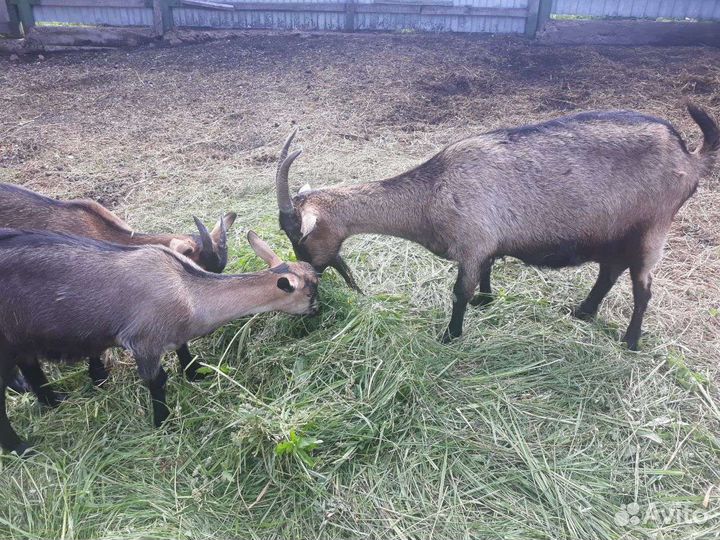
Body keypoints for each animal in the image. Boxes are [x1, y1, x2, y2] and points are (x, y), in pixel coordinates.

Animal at [0, 228, 318, 454]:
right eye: (310, 291)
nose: (319, 309)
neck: (188, 291)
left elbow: (183, 350)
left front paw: (193, 373)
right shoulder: (144, 341)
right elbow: (156, 381)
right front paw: (162, 422)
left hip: (20, 340)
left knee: (30, 367)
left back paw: (54, 401)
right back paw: (21, 448)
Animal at [276, 104, 719, 349]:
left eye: (300, 235)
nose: (308, 273)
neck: (433, 192)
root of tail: (689, 155)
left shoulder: (472, 243)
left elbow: (459, 291)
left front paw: (451, 335)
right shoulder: (487, 244)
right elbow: (488, 273)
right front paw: (486, 302)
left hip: (652, 229)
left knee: (642, 288)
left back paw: (630, 342)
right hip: (613, 232)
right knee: (609, 271)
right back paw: (582, 312)